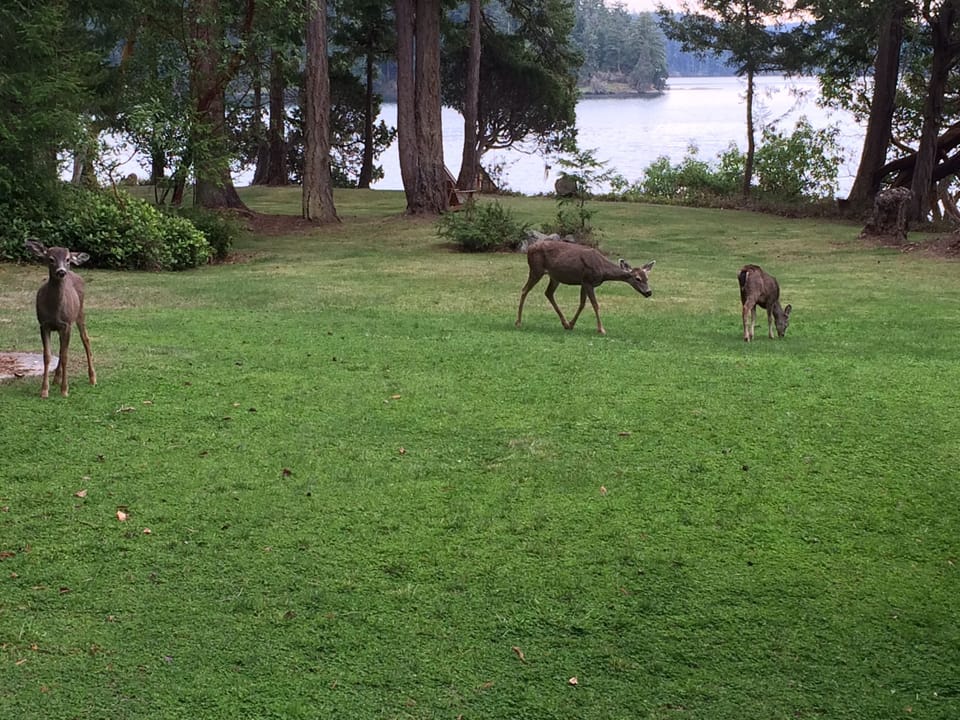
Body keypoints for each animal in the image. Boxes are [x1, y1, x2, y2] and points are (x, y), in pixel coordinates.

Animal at [25, 240, 97, 398]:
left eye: (68, 259)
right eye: (51, 259)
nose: (62, 271)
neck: (55, 310)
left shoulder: (66, 324)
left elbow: (65, 356)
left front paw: (64, 390)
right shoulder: (44, 324)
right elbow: (47, 356)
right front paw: (44, 390)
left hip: (80, 312)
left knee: (85, 339)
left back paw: (93, 378)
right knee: (61, 347)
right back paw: (56, 378)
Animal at [516, 240, 655, 335]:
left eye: (647, 278)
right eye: (637, 278)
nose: (648, 292)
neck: (603, 271)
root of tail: (529, 248)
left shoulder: (583, 282)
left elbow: (582, 304)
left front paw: (571, 324)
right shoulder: (588, 280)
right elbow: (595, 304)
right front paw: (601, 329)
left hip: (554, 277)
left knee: (548, 293)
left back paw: (564, 323)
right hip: (536, 269)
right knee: (524, 290)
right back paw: (518, 322)